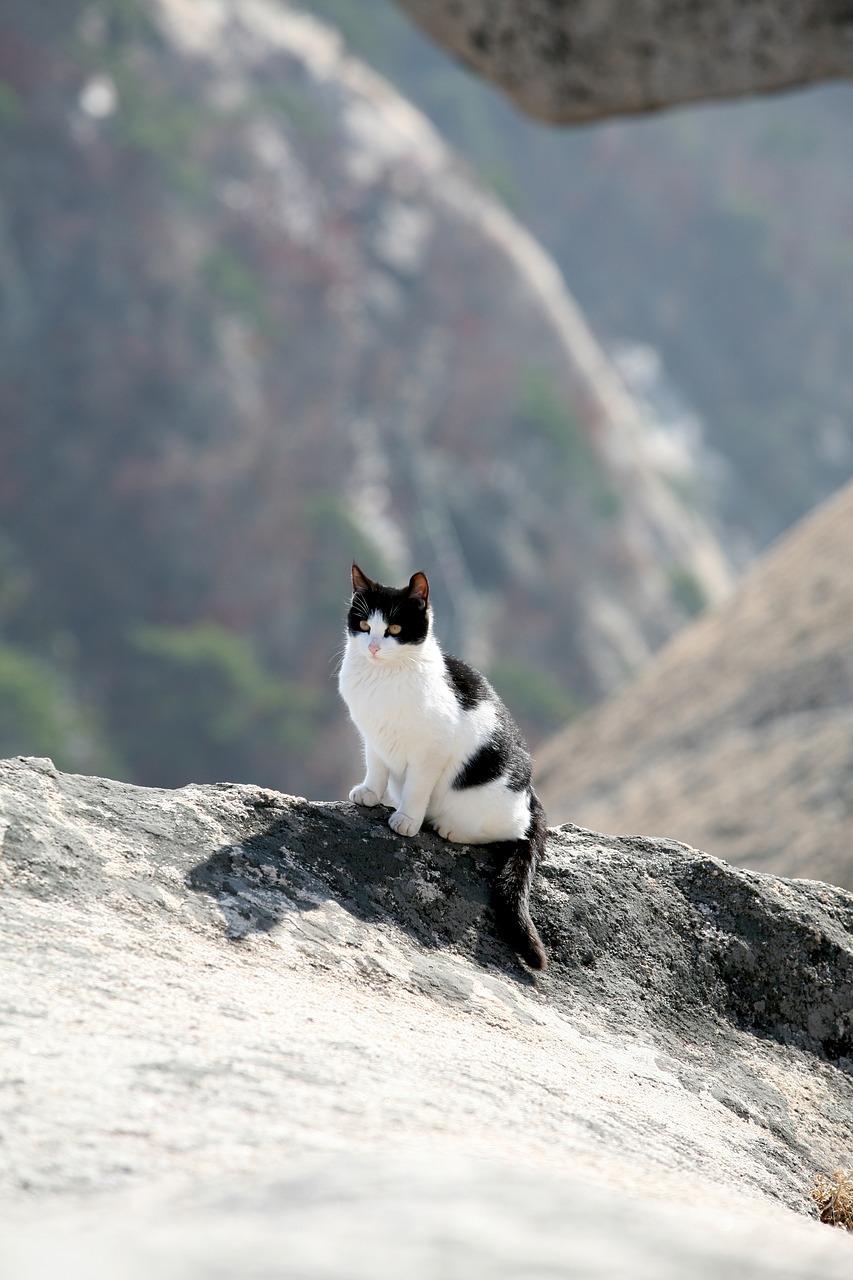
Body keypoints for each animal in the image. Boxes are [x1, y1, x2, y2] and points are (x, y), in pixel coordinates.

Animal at [338, 563, 545, 967]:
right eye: (364, 624)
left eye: (394, 629)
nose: (373, 646)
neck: (383, 679)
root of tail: (530, 797)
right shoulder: (372, 736)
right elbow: (376, 767)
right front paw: (369, 793)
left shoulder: (431, 750)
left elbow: (417, 788)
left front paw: (406, 820)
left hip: (490, 804)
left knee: (509, 832)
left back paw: (448, 829)